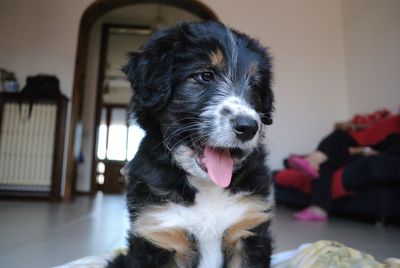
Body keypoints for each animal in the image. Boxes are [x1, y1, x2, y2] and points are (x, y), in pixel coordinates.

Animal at [109, 21, 276, 268]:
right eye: (205, 76)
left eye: (254, 85)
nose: (248, 127)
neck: (207, 186)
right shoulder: (161, 233)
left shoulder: (247, 229)